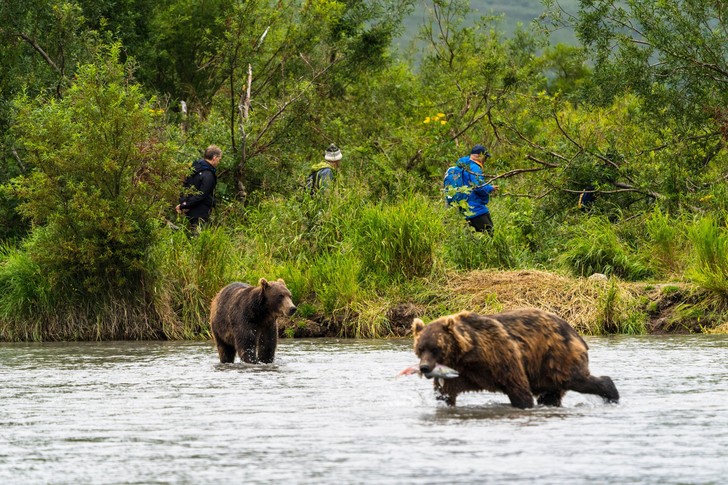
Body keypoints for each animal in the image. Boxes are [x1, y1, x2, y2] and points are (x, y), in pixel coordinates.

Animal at [412, 308, 616, 406]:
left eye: (435, 348)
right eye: (420, 348)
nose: (424, 368)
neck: (467, 355)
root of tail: (576, 332)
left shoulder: (500, 356)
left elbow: (518, 387)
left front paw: (523, 404)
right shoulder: (462, 374)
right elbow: (446, 394)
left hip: (557, 357)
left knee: (576, 379)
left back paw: (612, 394)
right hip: (546, 371)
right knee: (551, 394)